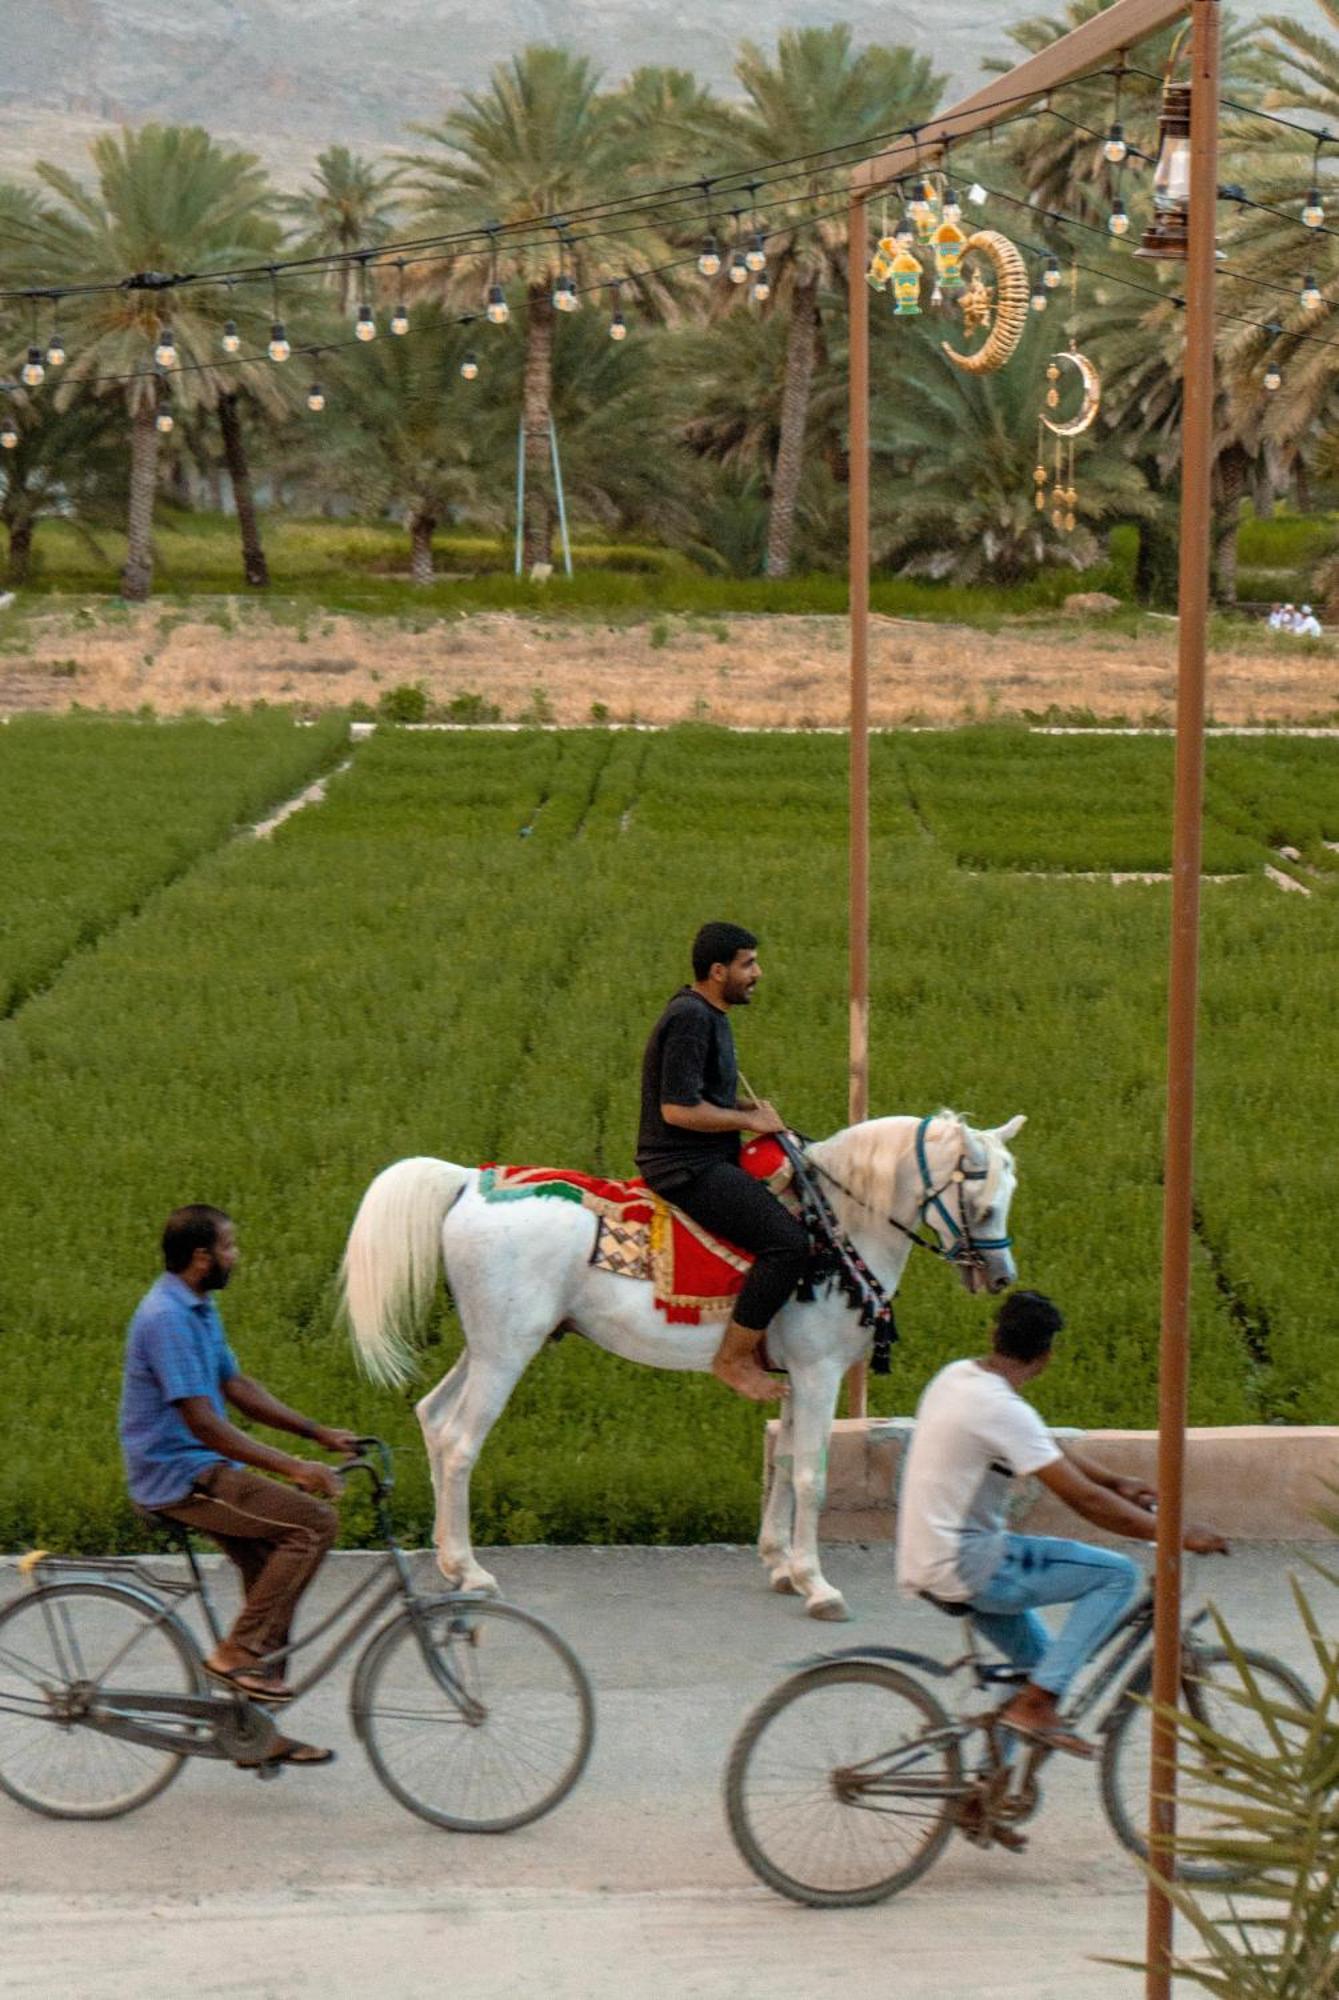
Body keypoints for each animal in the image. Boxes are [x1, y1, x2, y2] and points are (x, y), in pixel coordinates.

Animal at [337, 1112, 1031, 1624]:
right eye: (979, 1196)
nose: (1000, 1277)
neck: (834, 1227)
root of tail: (469, 1180)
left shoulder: (790, 1378)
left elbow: (783, 1462)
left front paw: (780, 1564)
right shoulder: (819, 1371)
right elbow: (812, 1474)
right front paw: (817, 1583)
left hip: (485, 1346)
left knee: (432, 1418)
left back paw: (448, 1561)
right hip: (509, 1349)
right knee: (460, 1442)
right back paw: (473, 1570)